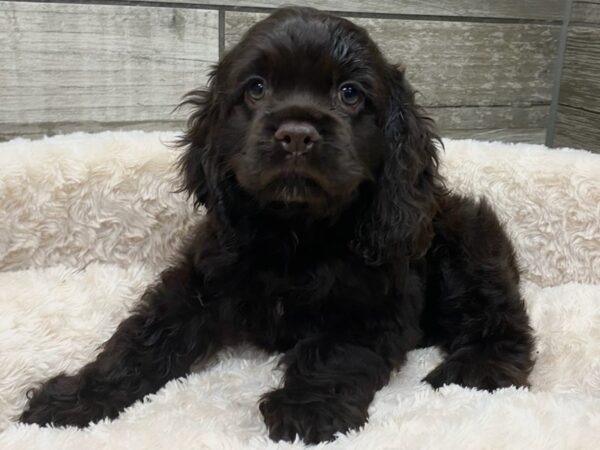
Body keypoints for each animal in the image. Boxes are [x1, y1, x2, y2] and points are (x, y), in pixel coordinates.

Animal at [18, 6, 536, 442]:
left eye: (350, 94)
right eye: (256, 88)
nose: (297, 135)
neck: (295, 231)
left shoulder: (376, 303)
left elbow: (334, 351)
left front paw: (307, 409)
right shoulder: (197, 282)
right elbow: (140, 339)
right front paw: (73, 399)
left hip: (467, 252)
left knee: (504, 322)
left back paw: (476, 370)